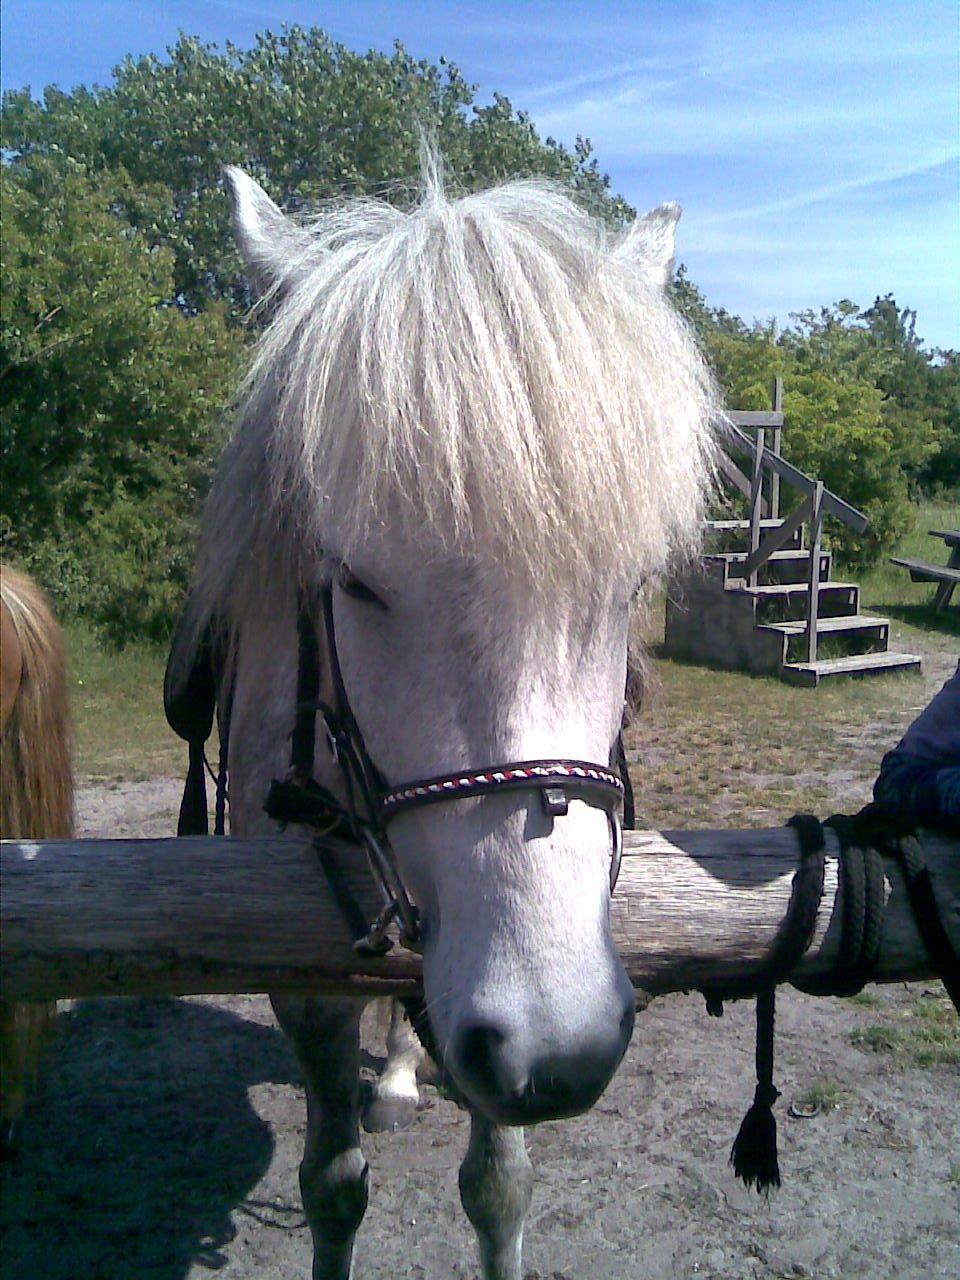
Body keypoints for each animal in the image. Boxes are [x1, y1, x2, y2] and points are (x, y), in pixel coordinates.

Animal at [197, 157, 716, 1280]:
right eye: (352, 581)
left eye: (630, 587)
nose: (561, 1043)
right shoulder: (302, 981)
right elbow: (332, 1186)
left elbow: (498, 1185)